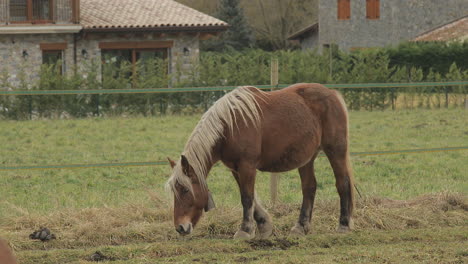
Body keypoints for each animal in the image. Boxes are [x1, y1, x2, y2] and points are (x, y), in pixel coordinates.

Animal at [166, 83, 352, 239]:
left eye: (185, 190)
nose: (180, 227)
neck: (229, 126)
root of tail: (333, 93)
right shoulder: (236, 169)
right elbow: (250, 196)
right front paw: (264, 226)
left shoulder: (247, 165)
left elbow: (247, 197)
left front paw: (245, 230)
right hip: (306, 158)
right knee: (309, 187)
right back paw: (300, 227)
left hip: (336, 151)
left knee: (342, 183)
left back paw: (343, 224)